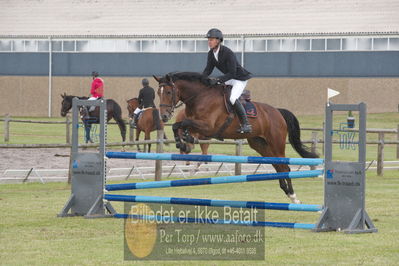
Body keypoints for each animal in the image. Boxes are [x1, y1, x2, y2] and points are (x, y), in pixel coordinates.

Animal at [153, 71, 318, 203]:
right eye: (158, 93)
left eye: (168, 92)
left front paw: (185, 142)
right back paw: (286, 191)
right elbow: (178, 125)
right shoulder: (196, 124)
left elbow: (183, 123)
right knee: (277, 165)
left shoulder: (208, 127)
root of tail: (277, 111)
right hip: (259, 144)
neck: (200, 97)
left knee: (285, 166)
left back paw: (293, 196)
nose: (164, 116)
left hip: (276, 143)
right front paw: (184, 142)